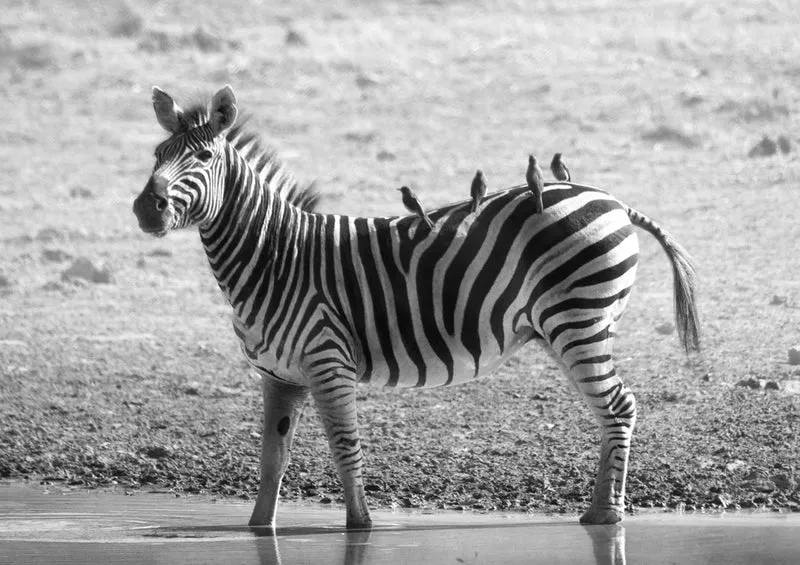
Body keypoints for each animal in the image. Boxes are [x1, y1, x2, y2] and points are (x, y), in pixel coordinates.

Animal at [133, 85, 700, 529]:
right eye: (158, 152)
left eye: (204, 159)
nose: (145, 207)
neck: (275, 256)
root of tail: (612, 199)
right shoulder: (279, 376)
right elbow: (273, 458)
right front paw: (258, 528)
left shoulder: (327, 361)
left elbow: (344, 446)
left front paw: (360, 526)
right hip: (568, 328)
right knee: (611, 409)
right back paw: (599, 512)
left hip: (579, 321)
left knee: (619, 405)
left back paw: (607, 514)